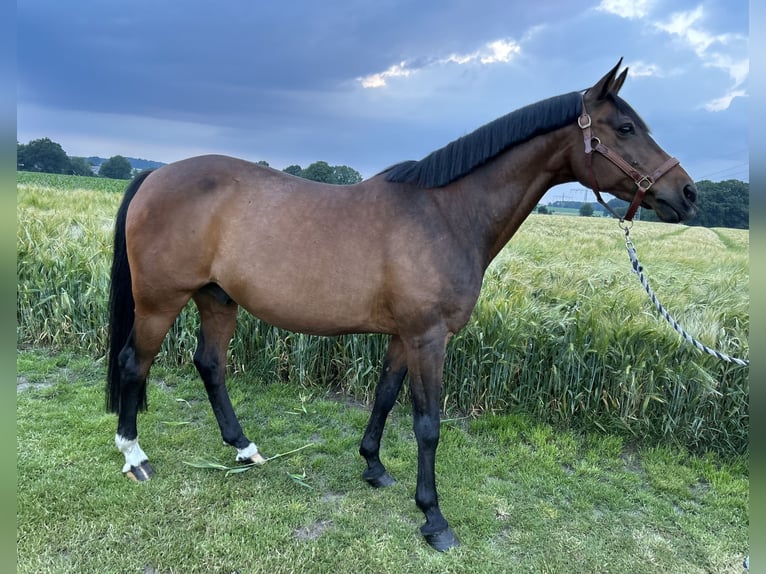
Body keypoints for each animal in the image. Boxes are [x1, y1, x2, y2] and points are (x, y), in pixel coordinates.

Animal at [108, 59, 704, 552]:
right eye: (625, 128)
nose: (688, 193)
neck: (444, 214)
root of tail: (155, 174)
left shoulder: (404, 336)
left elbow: (385, 397)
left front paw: (373, 468)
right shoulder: (428, 338)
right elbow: (427, 423)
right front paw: (434, 519)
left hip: (218, 300)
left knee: (210, 364)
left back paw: (243, 448)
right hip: (160, 302)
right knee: (135, 364)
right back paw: (135, 458)